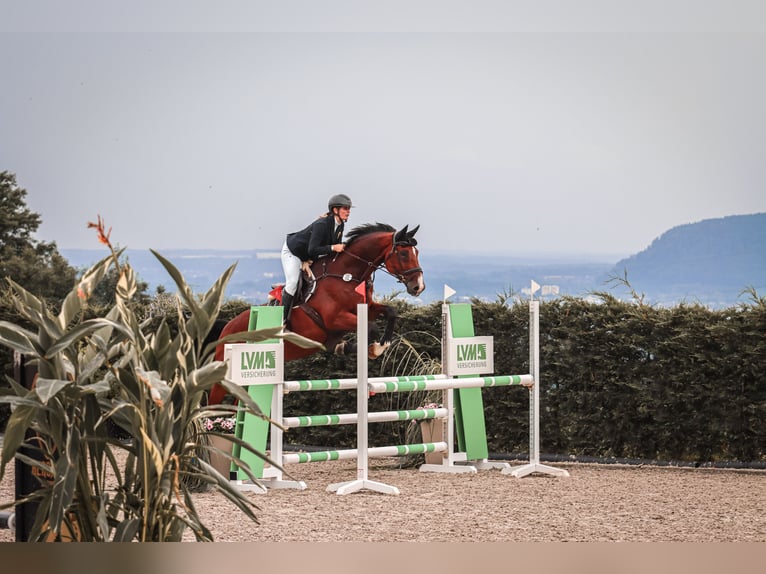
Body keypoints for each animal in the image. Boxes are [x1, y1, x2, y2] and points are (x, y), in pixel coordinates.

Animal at [208, 223, 426, 408]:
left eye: (416, 252)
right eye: (404, 253)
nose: (418, 287)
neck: (346, 275)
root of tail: (226, 329)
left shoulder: (368, 307)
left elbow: (391, 312)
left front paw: (376, 345)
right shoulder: (334, 319)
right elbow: (370, 327)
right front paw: (372, 348)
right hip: (224, 379)